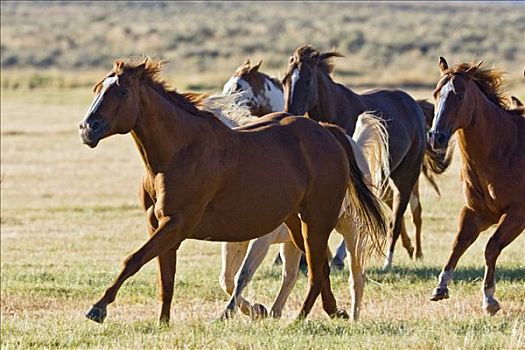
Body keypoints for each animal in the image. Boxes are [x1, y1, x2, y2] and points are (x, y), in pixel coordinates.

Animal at [77, 58, 384, 326]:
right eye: (97, 89)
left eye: (122, 91)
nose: (87, 129)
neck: (178, 153)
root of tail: (327, 132)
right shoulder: (160, 227)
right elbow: (167, 279)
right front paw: (163, 322)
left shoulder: (176, 224)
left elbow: (134, 260)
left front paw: (98, 308)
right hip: (298, 225)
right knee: (317, 269)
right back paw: (332, 312)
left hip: (322, 223)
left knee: (330, 271)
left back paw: (301, 318)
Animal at [280, 45, 452, 270]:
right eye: (284, 80)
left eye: (308, 81)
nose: (290, 113)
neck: (336, 112)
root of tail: (413, 104)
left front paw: (337, 257)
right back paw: (410, 249)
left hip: (405, 175)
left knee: (397, 215)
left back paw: (389, 261)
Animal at [428, 57, 520, 314]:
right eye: (436, 93)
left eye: (459, 95)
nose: (436, 137)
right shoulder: (477, 212)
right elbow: (459, 243)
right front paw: (440, 287)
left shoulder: (517, 214)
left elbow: (492, 247)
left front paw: (489, 299)